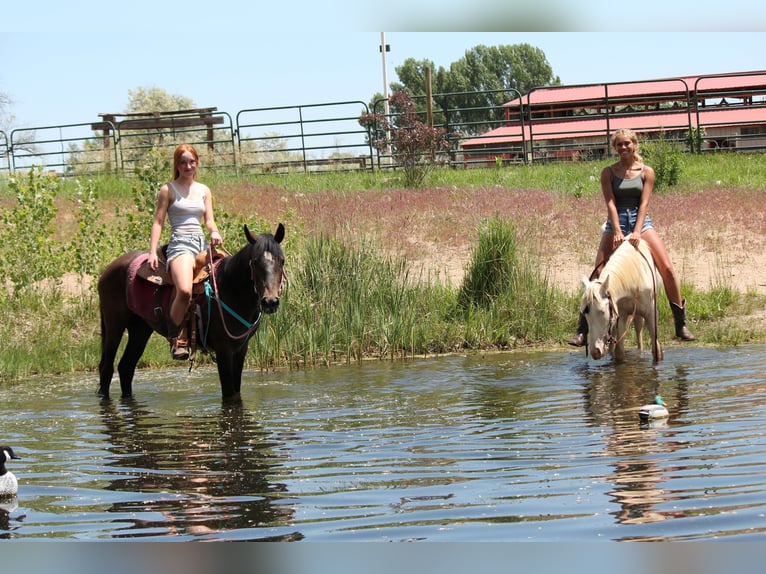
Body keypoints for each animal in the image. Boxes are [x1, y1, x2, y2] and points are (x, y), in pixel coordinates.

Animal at [97, 223, 285, 401]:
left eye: (282, 260)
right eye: (254, 262)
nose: (270, 301)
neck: (228, 289)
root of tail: (107, 270)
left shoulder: (241, 349)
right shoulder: (223, 350)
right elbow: (229, 394)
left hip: (140, 329)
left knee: (126, 368)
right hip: (115, 325)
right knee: (107, 369)